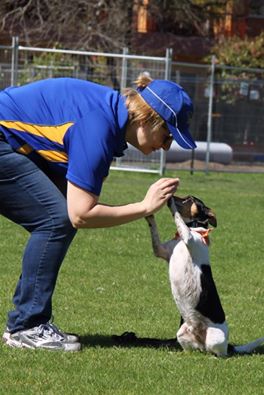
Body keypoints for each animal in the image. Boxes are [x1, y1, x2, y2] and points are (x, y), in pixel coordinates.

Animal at [145, 196, 262, 358]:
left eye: (190, 199)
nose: (171, 196)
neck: (193, 230)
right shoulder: (160, 250)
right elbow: (154, 230)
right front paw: (149, 214)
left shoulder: (188, 237)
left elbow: (177, 216)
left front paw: (169, 202)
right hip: (182, 333)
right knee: (196, 351)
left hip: (215, 339)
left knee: (219, 354)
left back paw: (214, 357)